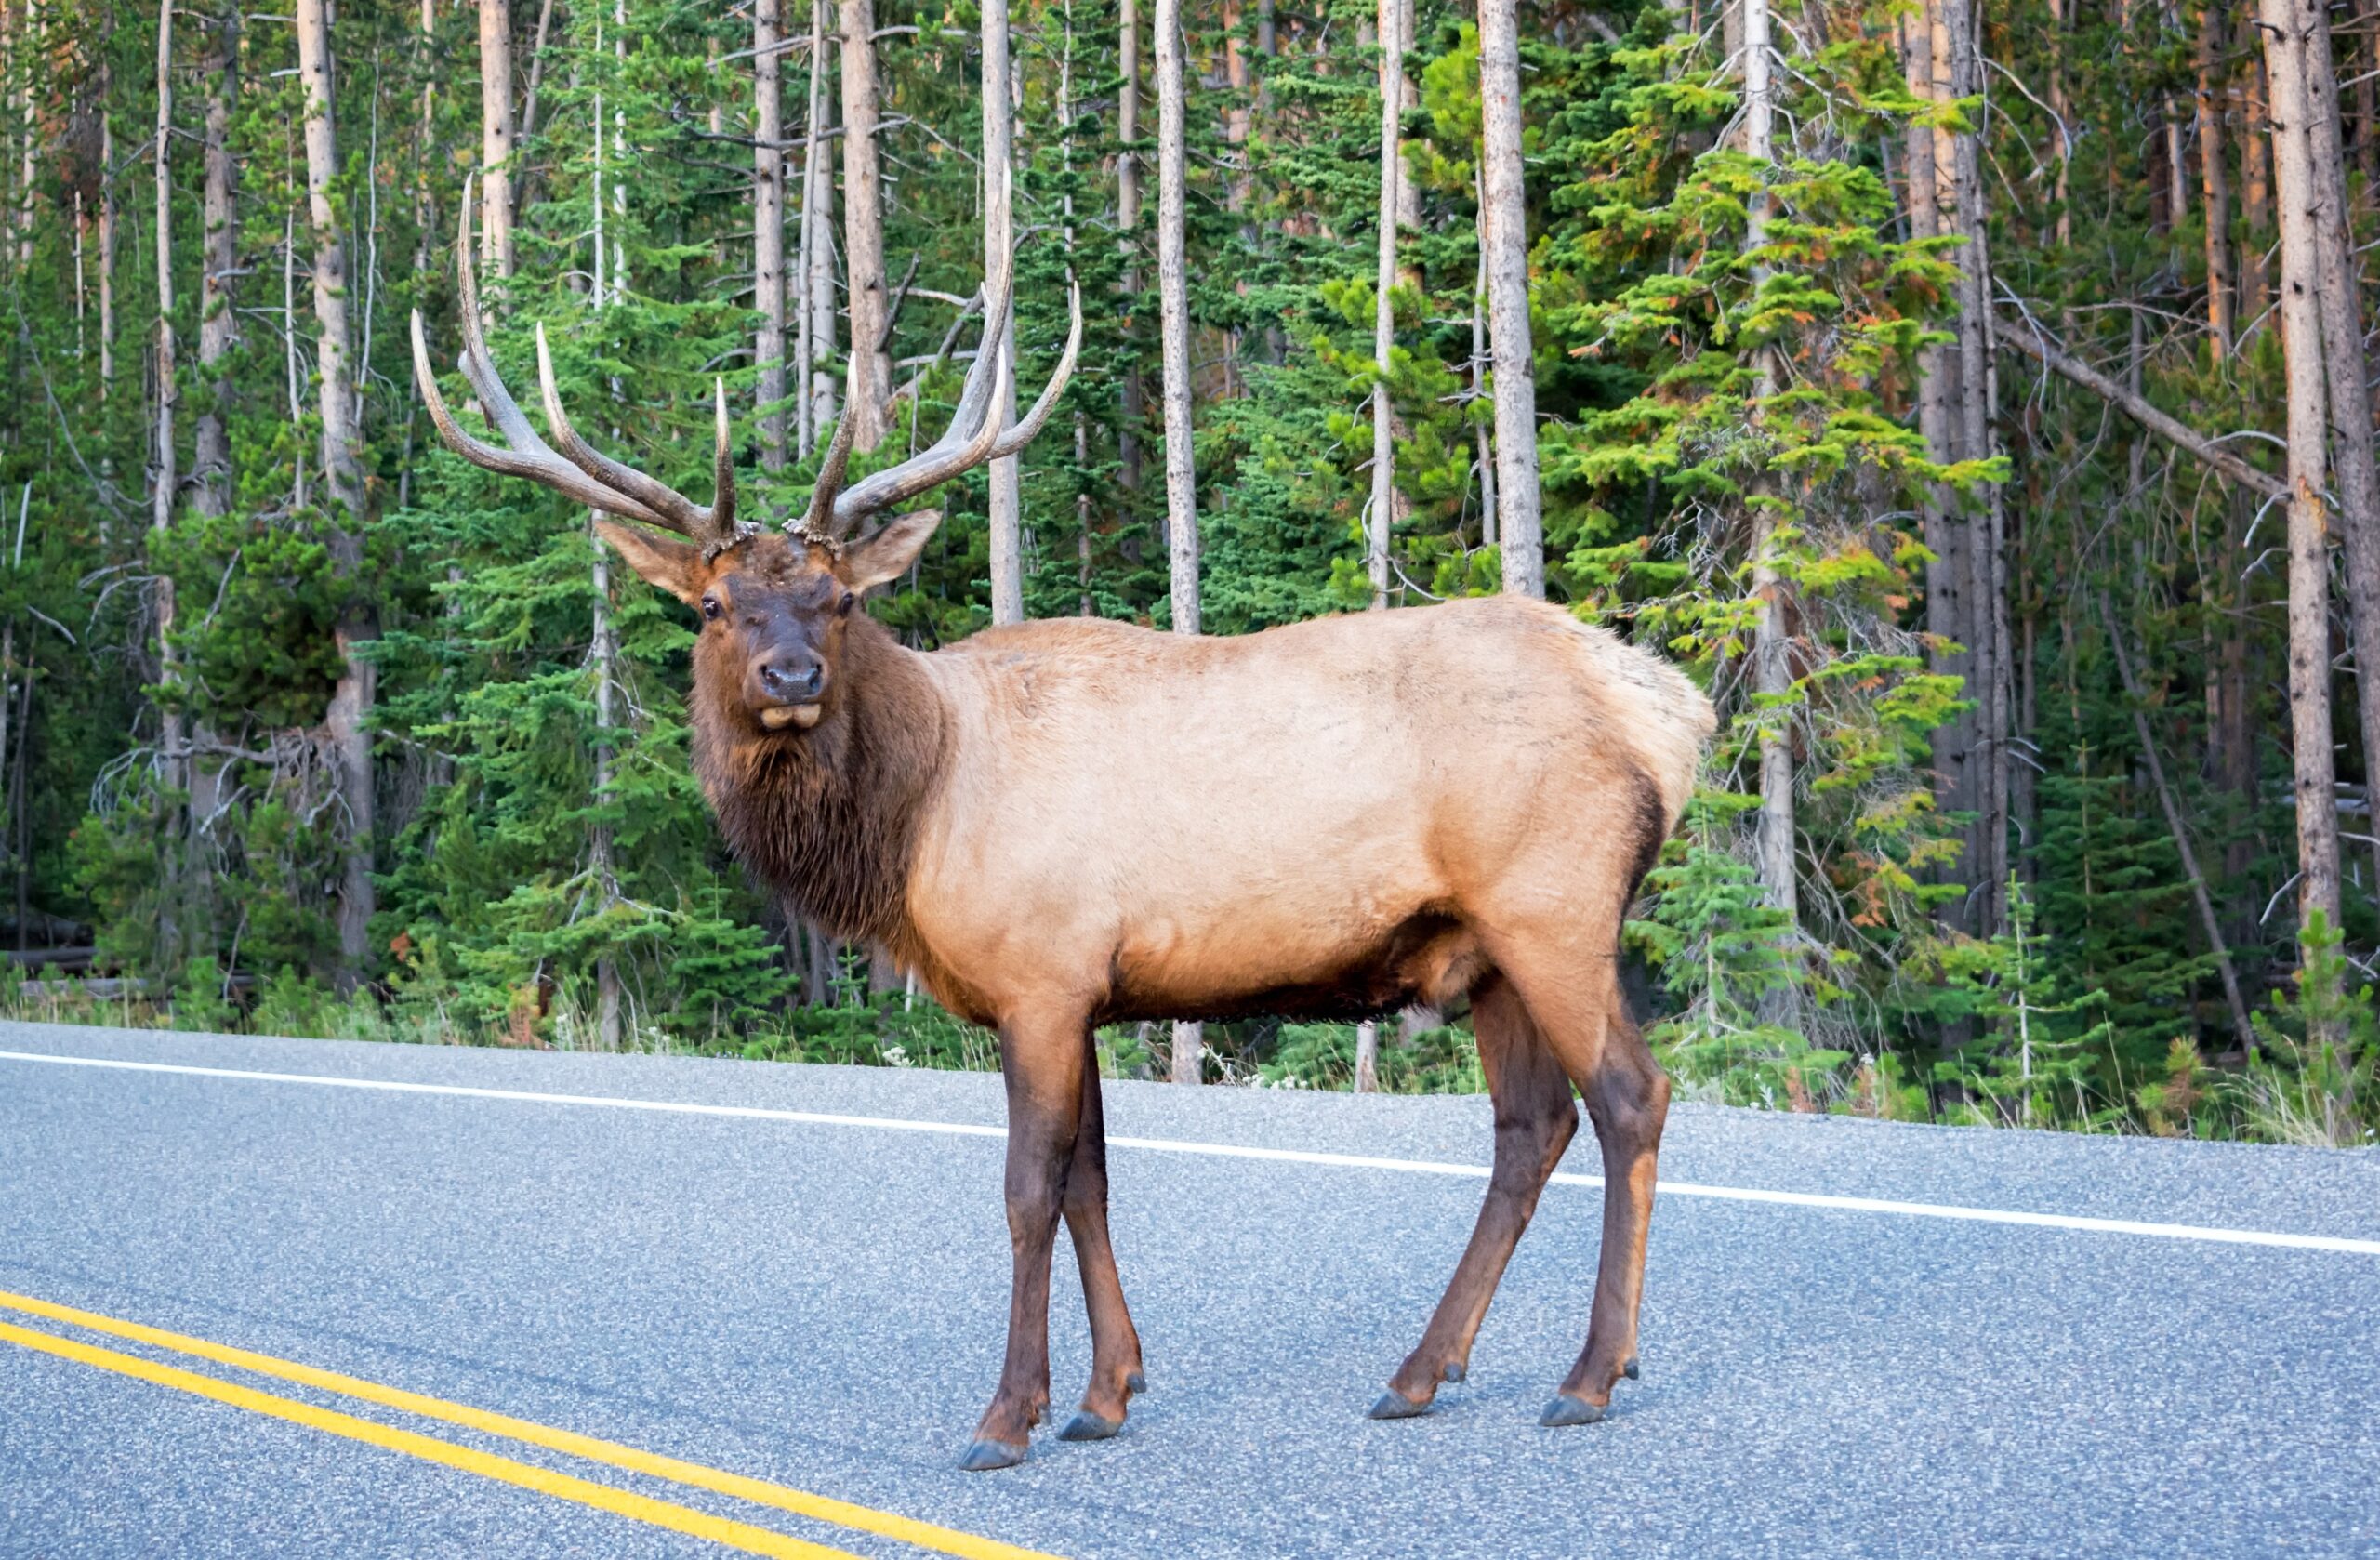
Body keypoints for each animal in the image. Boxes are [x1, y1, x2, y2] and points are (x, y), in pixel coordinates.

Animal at [413, 198, 1716, 1472]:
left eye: (840, 600)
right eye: (715, 606)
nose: (790, 675)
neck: (914, 815)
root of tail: (1668, 709)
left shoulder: (1039, 976)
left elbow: (1028, 1189)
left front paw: (1004, 1417)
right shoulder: (1080, 985)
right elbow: (1093, 1182)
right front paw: (1105, 1394)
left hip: (1553, 905)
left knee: (1629, 1098)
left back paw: (1589, 1375)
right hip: (1479, 946)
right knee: (1529, 1127)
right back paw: (1418, 1373)